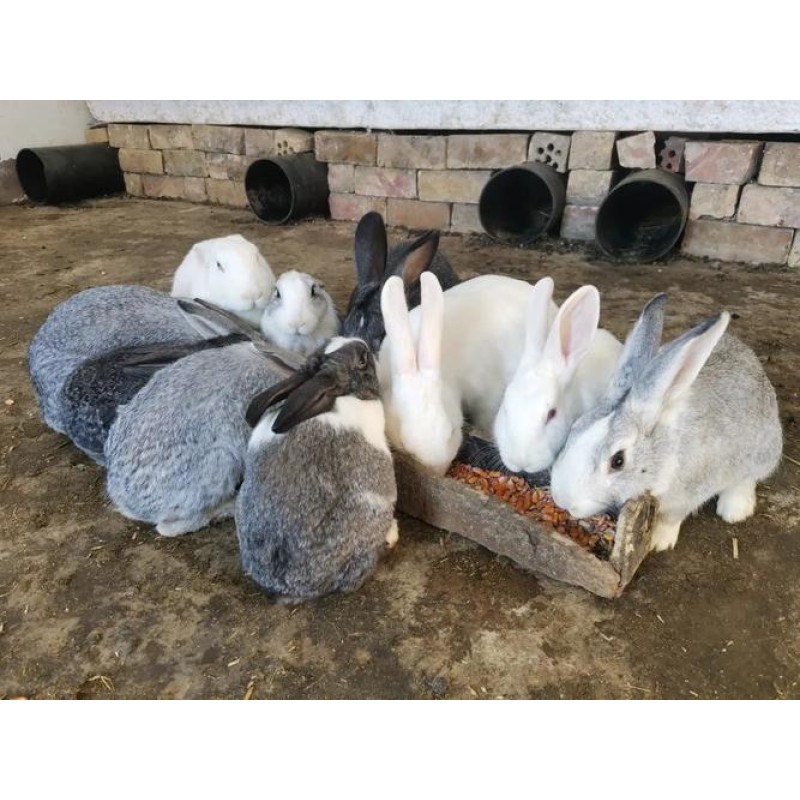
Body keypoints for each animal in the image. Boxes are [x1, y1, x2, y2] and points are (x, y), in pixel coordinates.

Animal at [550, 293, 783, 553]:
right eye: (575, 427)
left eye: (618, 461)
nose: (562, 500)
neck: (664, 450)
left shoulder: (687, 494)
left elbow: (669, 519)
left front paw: (657, 542)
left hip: (760, 452)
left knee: (747, 479)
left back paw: (734, 511)